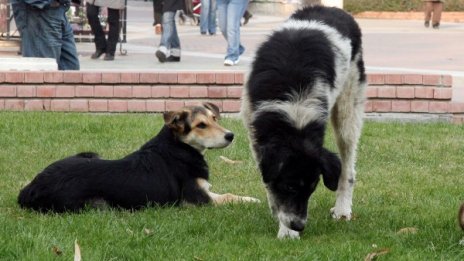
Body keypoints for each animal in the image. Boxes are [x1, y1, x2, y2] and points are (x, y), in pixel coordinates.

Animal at [18, 101, 260, 211]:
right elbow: (230, 196)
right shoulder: (197, 199)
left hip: (88, 154)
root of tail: (30, 188)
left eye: (214, 118)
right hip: (97, 204)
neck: (179, 147)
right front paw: (252, 199)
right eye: (201, 125)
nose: (231, 135)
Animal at [239, 6, 366, 238]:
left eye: (313, 187)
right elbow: (269, 183)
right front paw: (279, 217)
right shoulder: (253, 128)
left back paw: (343, 209)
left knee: (348, 167)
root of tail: (332, 9)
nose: (299, 226)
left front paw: (287, 231)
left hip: (348, 108)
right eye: (290, 187)